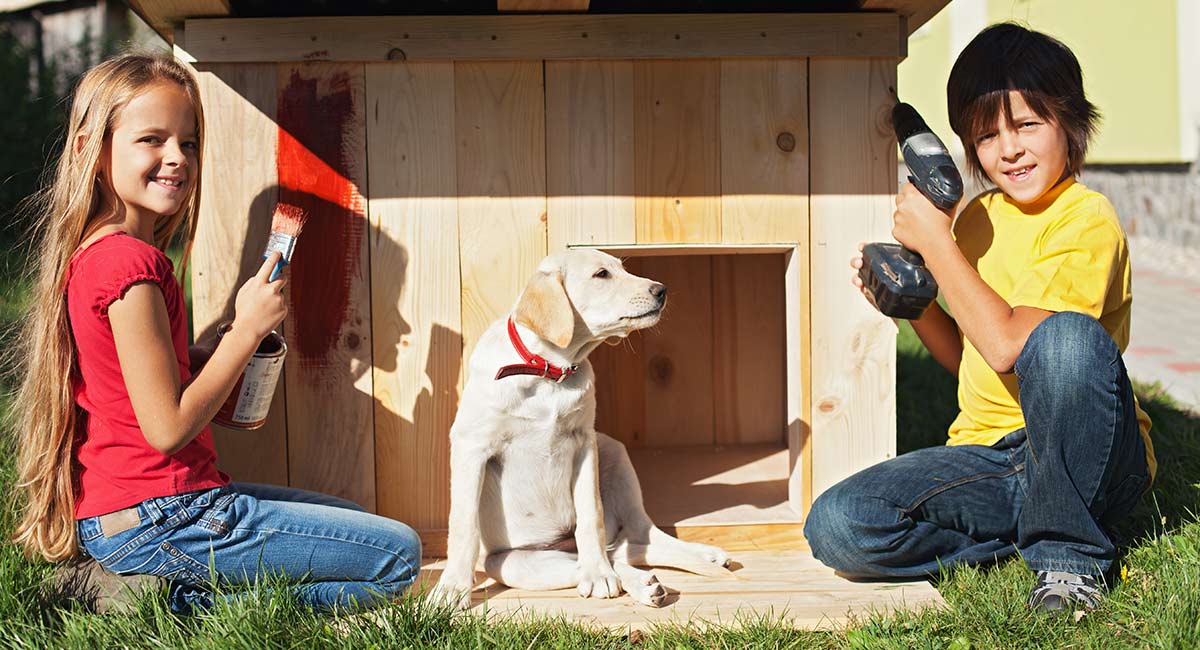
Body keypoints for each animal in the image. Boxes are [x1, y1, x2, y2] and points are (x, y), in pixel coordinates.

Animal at [432, 250, 729, 611]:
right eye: (602, 274)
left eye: (623, 269)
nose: (661, 290)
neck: (549, 372)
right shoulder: (471, 447)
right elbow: (463, 524)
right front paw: (452, 587)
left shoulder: (585, 443)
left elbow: (591, 514)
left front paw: (598, 573)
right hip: (512, 564)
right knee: (613, 558)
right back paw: (641, 583)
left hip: (613, 451)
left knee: (639, 538)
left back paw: (695, 557)